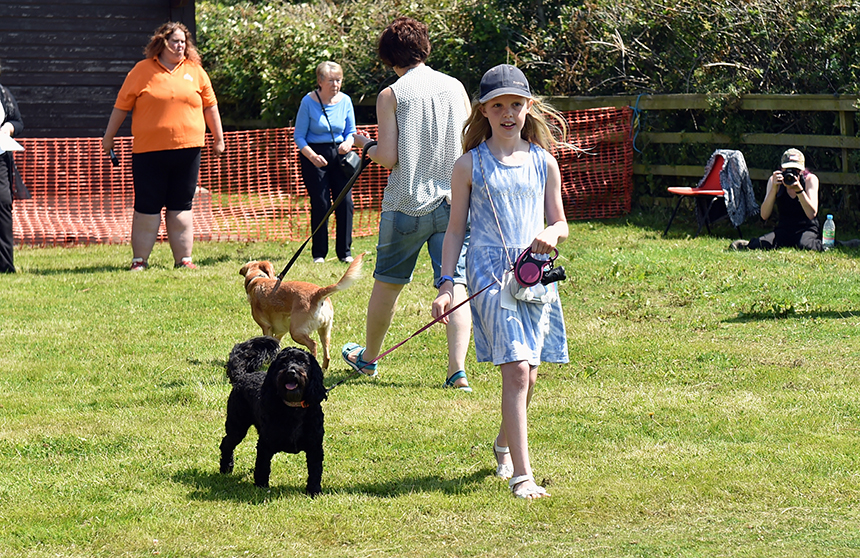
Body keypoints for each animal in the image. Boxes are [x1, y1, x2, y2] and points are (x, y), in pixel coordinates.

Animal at [220, 336, 328, 498]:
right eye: (283, 362)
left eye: (303, 362)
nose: (291, 372)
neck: (293, 408)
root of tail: (243, 376)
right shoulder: (265, 444)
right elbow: (263, 466)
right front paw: (261, 486)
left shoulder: (315, 446)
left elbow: (315, 471)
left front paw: (314, 491)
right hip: (237, 426)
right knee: (226, 444)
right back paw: (226, 468)